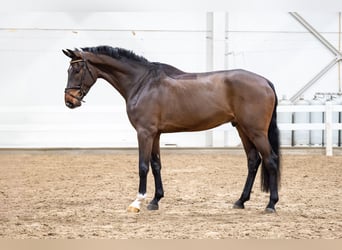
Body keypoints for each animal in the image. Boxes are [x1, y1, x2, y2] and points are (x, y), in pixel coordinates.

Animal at [62, 45, 280, 213]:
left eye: (77, 70)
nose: (69, 101)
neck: (142, 83)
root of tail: (265, 81)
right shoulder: (155, 134)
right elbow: (156, 165)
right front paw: (155, 201)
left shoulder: (144, 133)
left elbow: (143, 166)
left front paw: (137, 202)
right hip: (242, 129)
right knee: (253, 161)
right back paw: (240, 201)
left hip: (256, 131)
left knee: (270, 160)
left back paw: (271, 204)